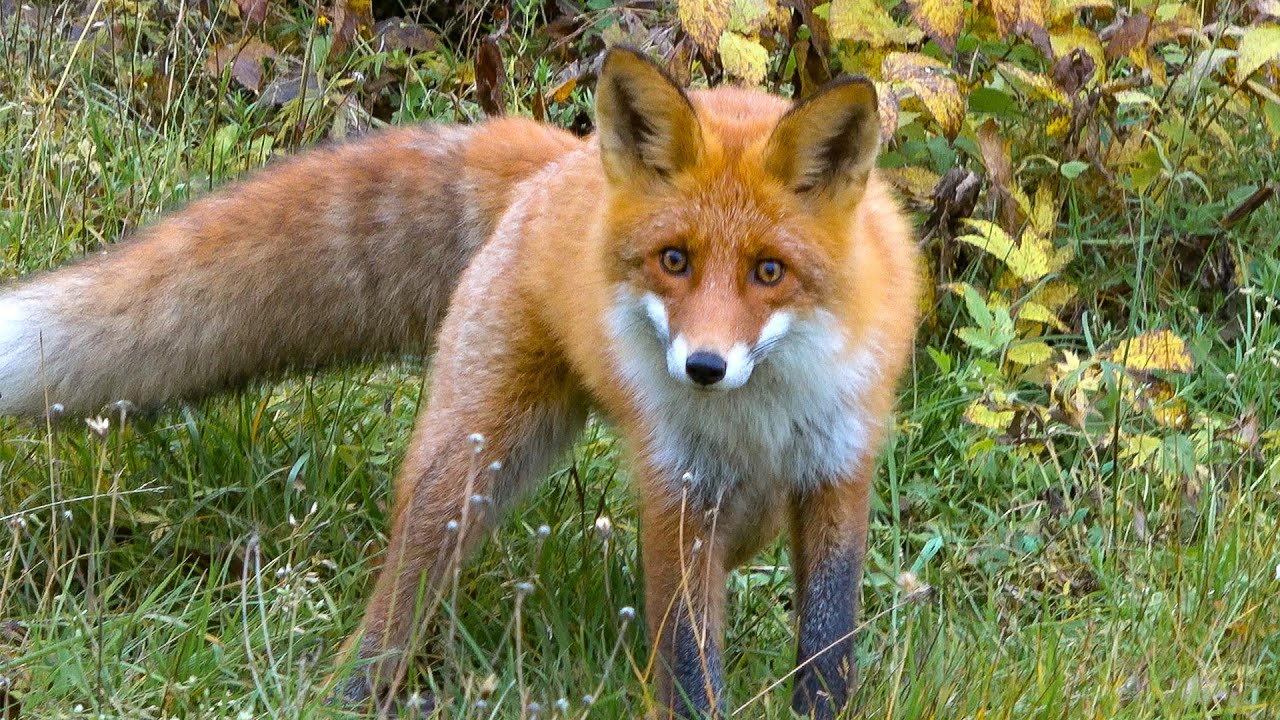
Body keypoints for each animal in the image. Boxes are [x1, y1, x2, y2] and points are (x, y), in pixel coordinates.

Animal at [0, 48, 918, 717]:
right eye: (674, 261)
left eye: (769, 272)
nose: (703, 367)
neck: (758, 415)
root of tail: (562, 158)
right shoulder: (679, 487)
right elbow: (691, 666)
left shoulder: (838, 470)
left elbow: (828, 647)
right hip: (468, 468)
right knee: (397, 598)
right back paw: (350, 693)